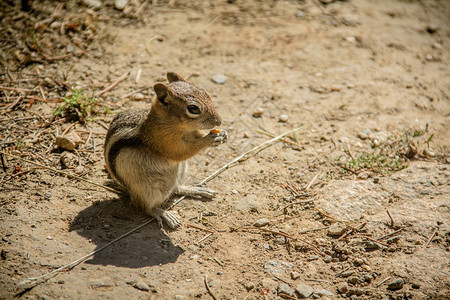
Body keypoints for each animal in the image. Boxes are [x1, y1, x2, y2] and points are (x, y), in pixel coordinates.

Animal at [103, 72, 227, 227]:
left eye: (206, 94)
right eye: (193, 109)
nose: (219, 121)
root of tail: (129, 191)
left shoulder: (192, 132)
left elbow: (197, 135)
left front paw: (222, 134)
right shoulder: (163, 141)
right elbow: (182, 152)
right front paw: (209, 139)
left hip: (180, 171)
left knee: (176, 188)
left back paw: (194, 189)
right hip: (149, 190)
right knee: (144, 206)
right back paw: (164, 214)